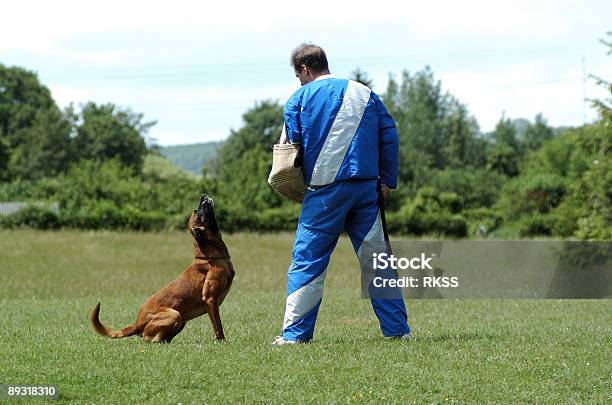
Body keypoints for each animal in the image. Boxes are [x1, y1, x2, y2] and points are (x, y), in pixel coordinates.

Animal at [91, 194, 234, 340]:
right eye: (198, 212)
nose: (203, 196)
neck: (208, 256)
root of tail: (137, 324)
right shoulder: (210, 300)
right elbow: (218, 327)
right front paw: (222, 342)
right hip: (175, 314)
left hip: (180, 320)